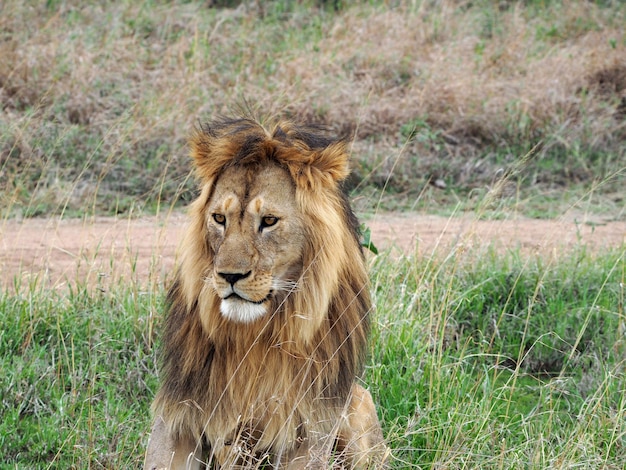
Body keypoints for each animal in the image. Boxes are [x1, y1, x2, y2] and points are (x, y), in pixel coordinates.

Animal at [144, 117, 388, 470]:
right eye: (219, 218)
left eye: (269, 221)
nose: (230, 276)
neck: (254, 335)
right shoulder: (178, 412)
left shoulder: (309, 427)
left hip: (358, 403)